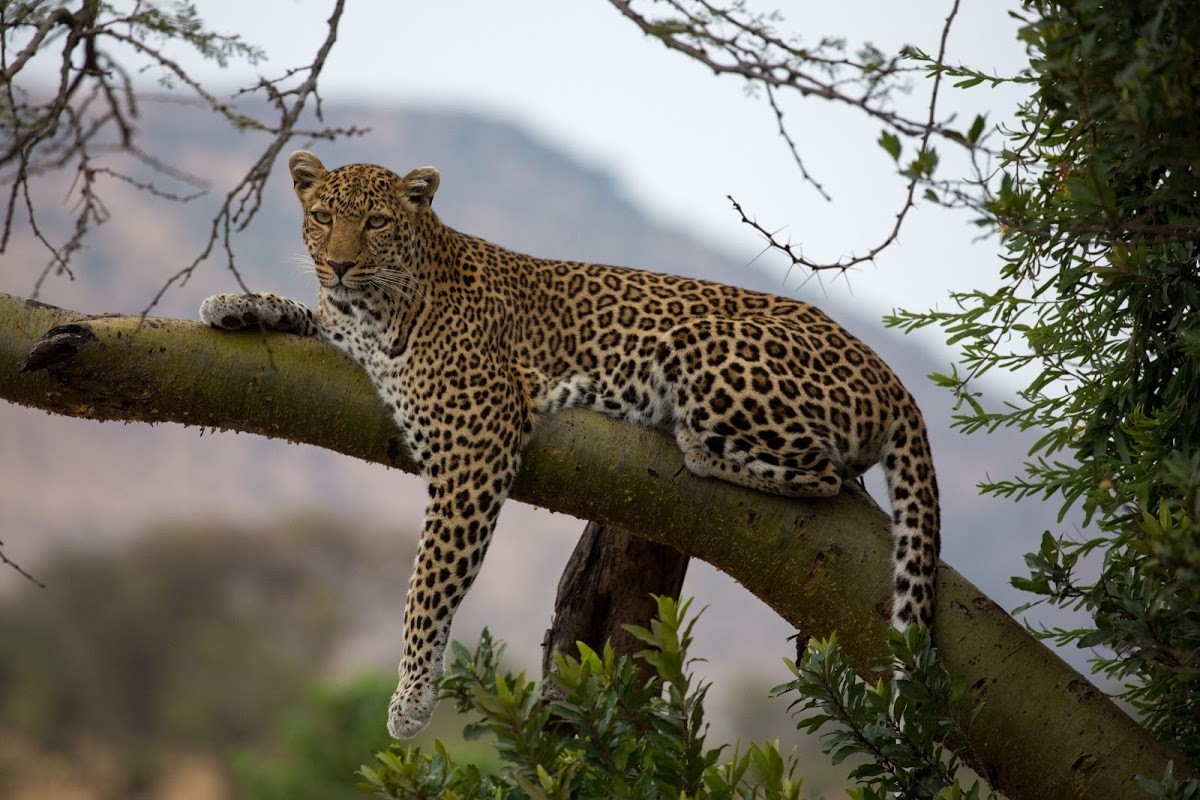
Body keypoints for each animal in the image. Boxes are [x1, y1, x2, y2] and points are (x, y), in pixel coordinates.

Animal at [201, 153, 940, 743]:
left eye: (378, 222)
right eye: (323, 215)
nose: (339, 262)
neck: (378, 303)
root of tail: (892, 377)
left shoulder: (475, 447)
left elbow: (428, 584)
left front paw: (410, 699)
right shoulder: (344, 332)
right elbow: (306, 314)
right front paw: (232, 305)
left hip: (700, 342)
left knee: (827, 474)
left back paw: (695, 444)